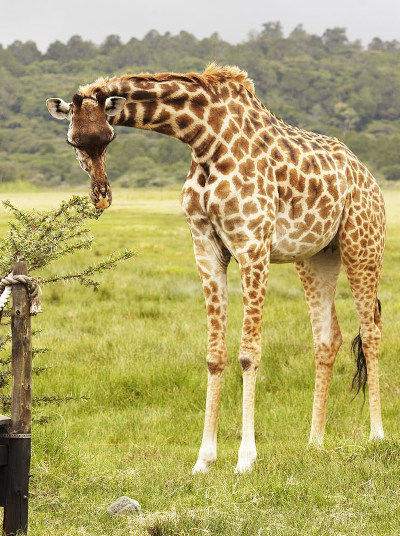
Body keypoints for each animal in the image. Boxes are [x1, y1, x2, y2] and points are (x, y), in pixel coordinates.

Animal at [46, 61, 384, 474]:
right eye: (73, 142)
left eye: (108, 137)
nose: (101, 196)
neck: (205, 138)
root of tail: (368, 176)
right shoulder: (205, 248)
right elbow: (214, 355)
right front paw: (203, 460)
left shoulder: (253, 245)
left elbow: (249, 352)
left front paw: (245, 459)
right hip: (316, 256)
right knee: (327, 337)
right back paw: (315, 443)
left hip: (362, 244)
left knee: (370, 332)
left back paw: (376, 436)